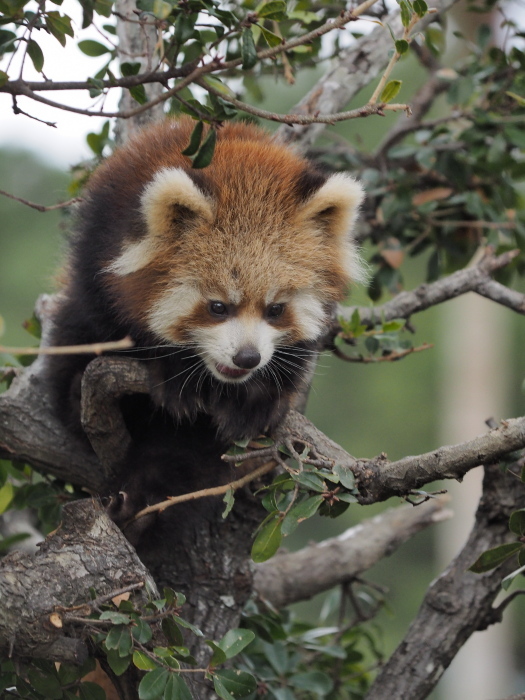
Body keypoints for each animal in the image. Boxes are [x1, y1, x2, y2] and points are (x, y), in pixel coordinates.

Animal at [47, 117, 362, 528]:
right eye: (217, 307)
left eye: (275, 309)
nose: (247, 358)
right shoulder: (98, 258)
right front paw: (174, 373)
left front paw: (256, 398)